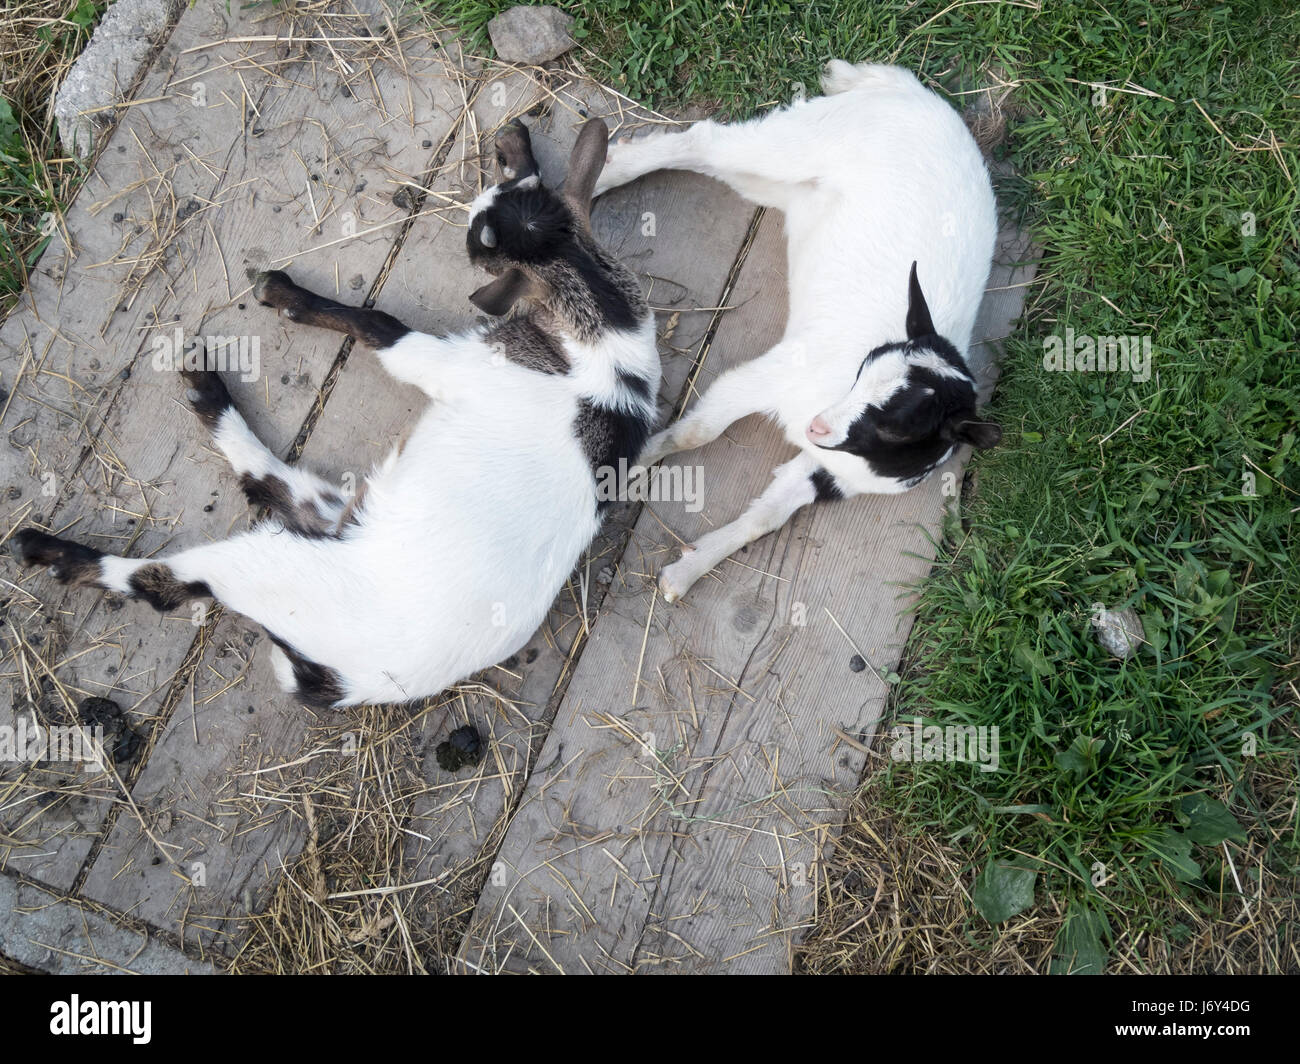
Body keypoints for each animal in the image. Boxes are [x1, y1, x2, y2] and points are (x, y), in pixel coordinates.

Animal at [12, 118, 660, 702]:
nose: (511, 141)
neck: (605, 335)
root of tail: (339, 682)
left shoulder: (449, 364)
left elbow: (378, 325)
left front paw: (291, 297)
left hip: (272, 569)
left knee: (165, 582)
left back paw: (48, 551)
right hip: (334, 512)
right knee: (266, 482)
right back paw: (204, 388)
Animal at [595, 62, 998, 600]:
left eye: (898, 426)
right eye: (865, 367)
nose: (819, 427)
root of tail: (907, 90)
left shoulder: (826, 471)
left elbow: (765, 517)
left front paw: (685, 572)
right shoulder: (773, 375)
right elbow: (696, 433)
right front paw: (626, 466)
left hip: (784, 184)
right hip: (802, 142)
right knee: (709, 141)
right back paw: (602, 174)